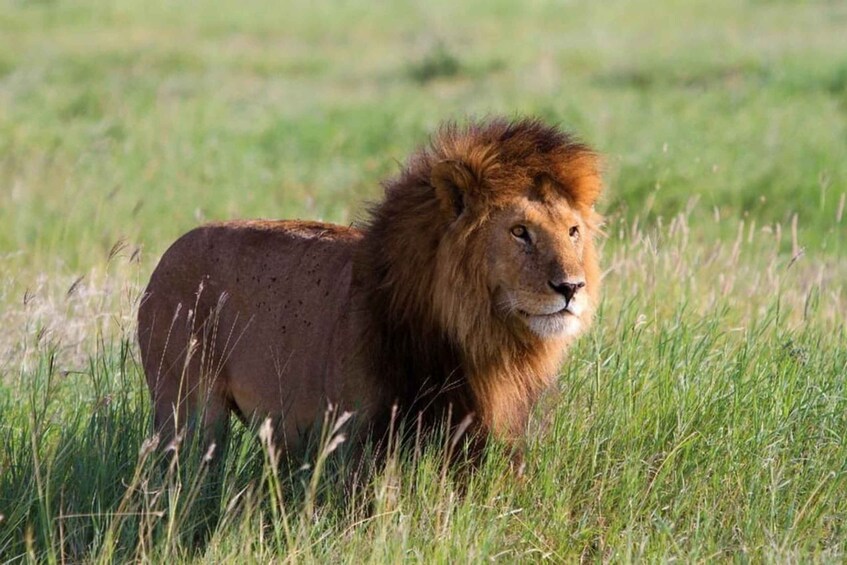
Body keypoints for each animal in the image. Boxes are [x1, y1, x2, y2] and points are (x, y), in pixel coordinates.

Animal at [137, 117, 603, 465]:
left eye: (572, 231)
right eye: (519, 231)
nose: (571, 287)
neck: (480, 341)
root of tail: (164, 258)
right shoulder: (361, 437)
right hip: (187, 412)